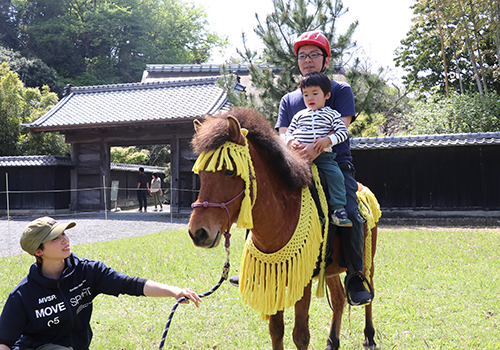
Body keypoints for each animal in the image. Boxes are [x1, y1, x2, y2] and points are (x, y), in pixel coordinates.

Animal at [188, 108, 378, 348]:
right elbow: (276, 330)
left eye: (229, 171)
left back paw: (369, 335)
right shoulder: (273, 276)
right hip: (332, 267)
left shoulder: (302, 279)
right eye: (200, 174)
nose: (198, 232)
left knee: (369, 291)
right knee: (338, 298)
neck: (281, 214)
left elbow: (300, 335)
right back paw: (332, 341)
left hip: (367, 260)